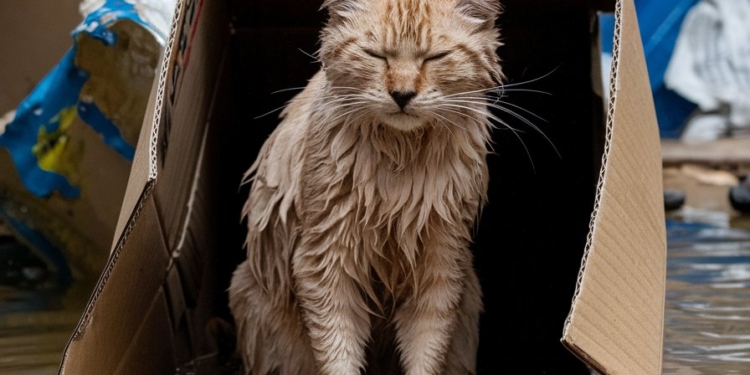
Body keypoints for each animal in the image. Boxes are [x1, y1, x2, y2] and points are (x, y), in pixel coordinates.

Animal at [229, 0, 506, 375]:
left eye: (436, 57)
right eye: (375, 55)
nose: (402, 94)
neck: (400, 161)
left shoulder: (442, 264)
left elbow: (427, 350)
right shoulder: (323, 260)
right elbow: (338, 351)